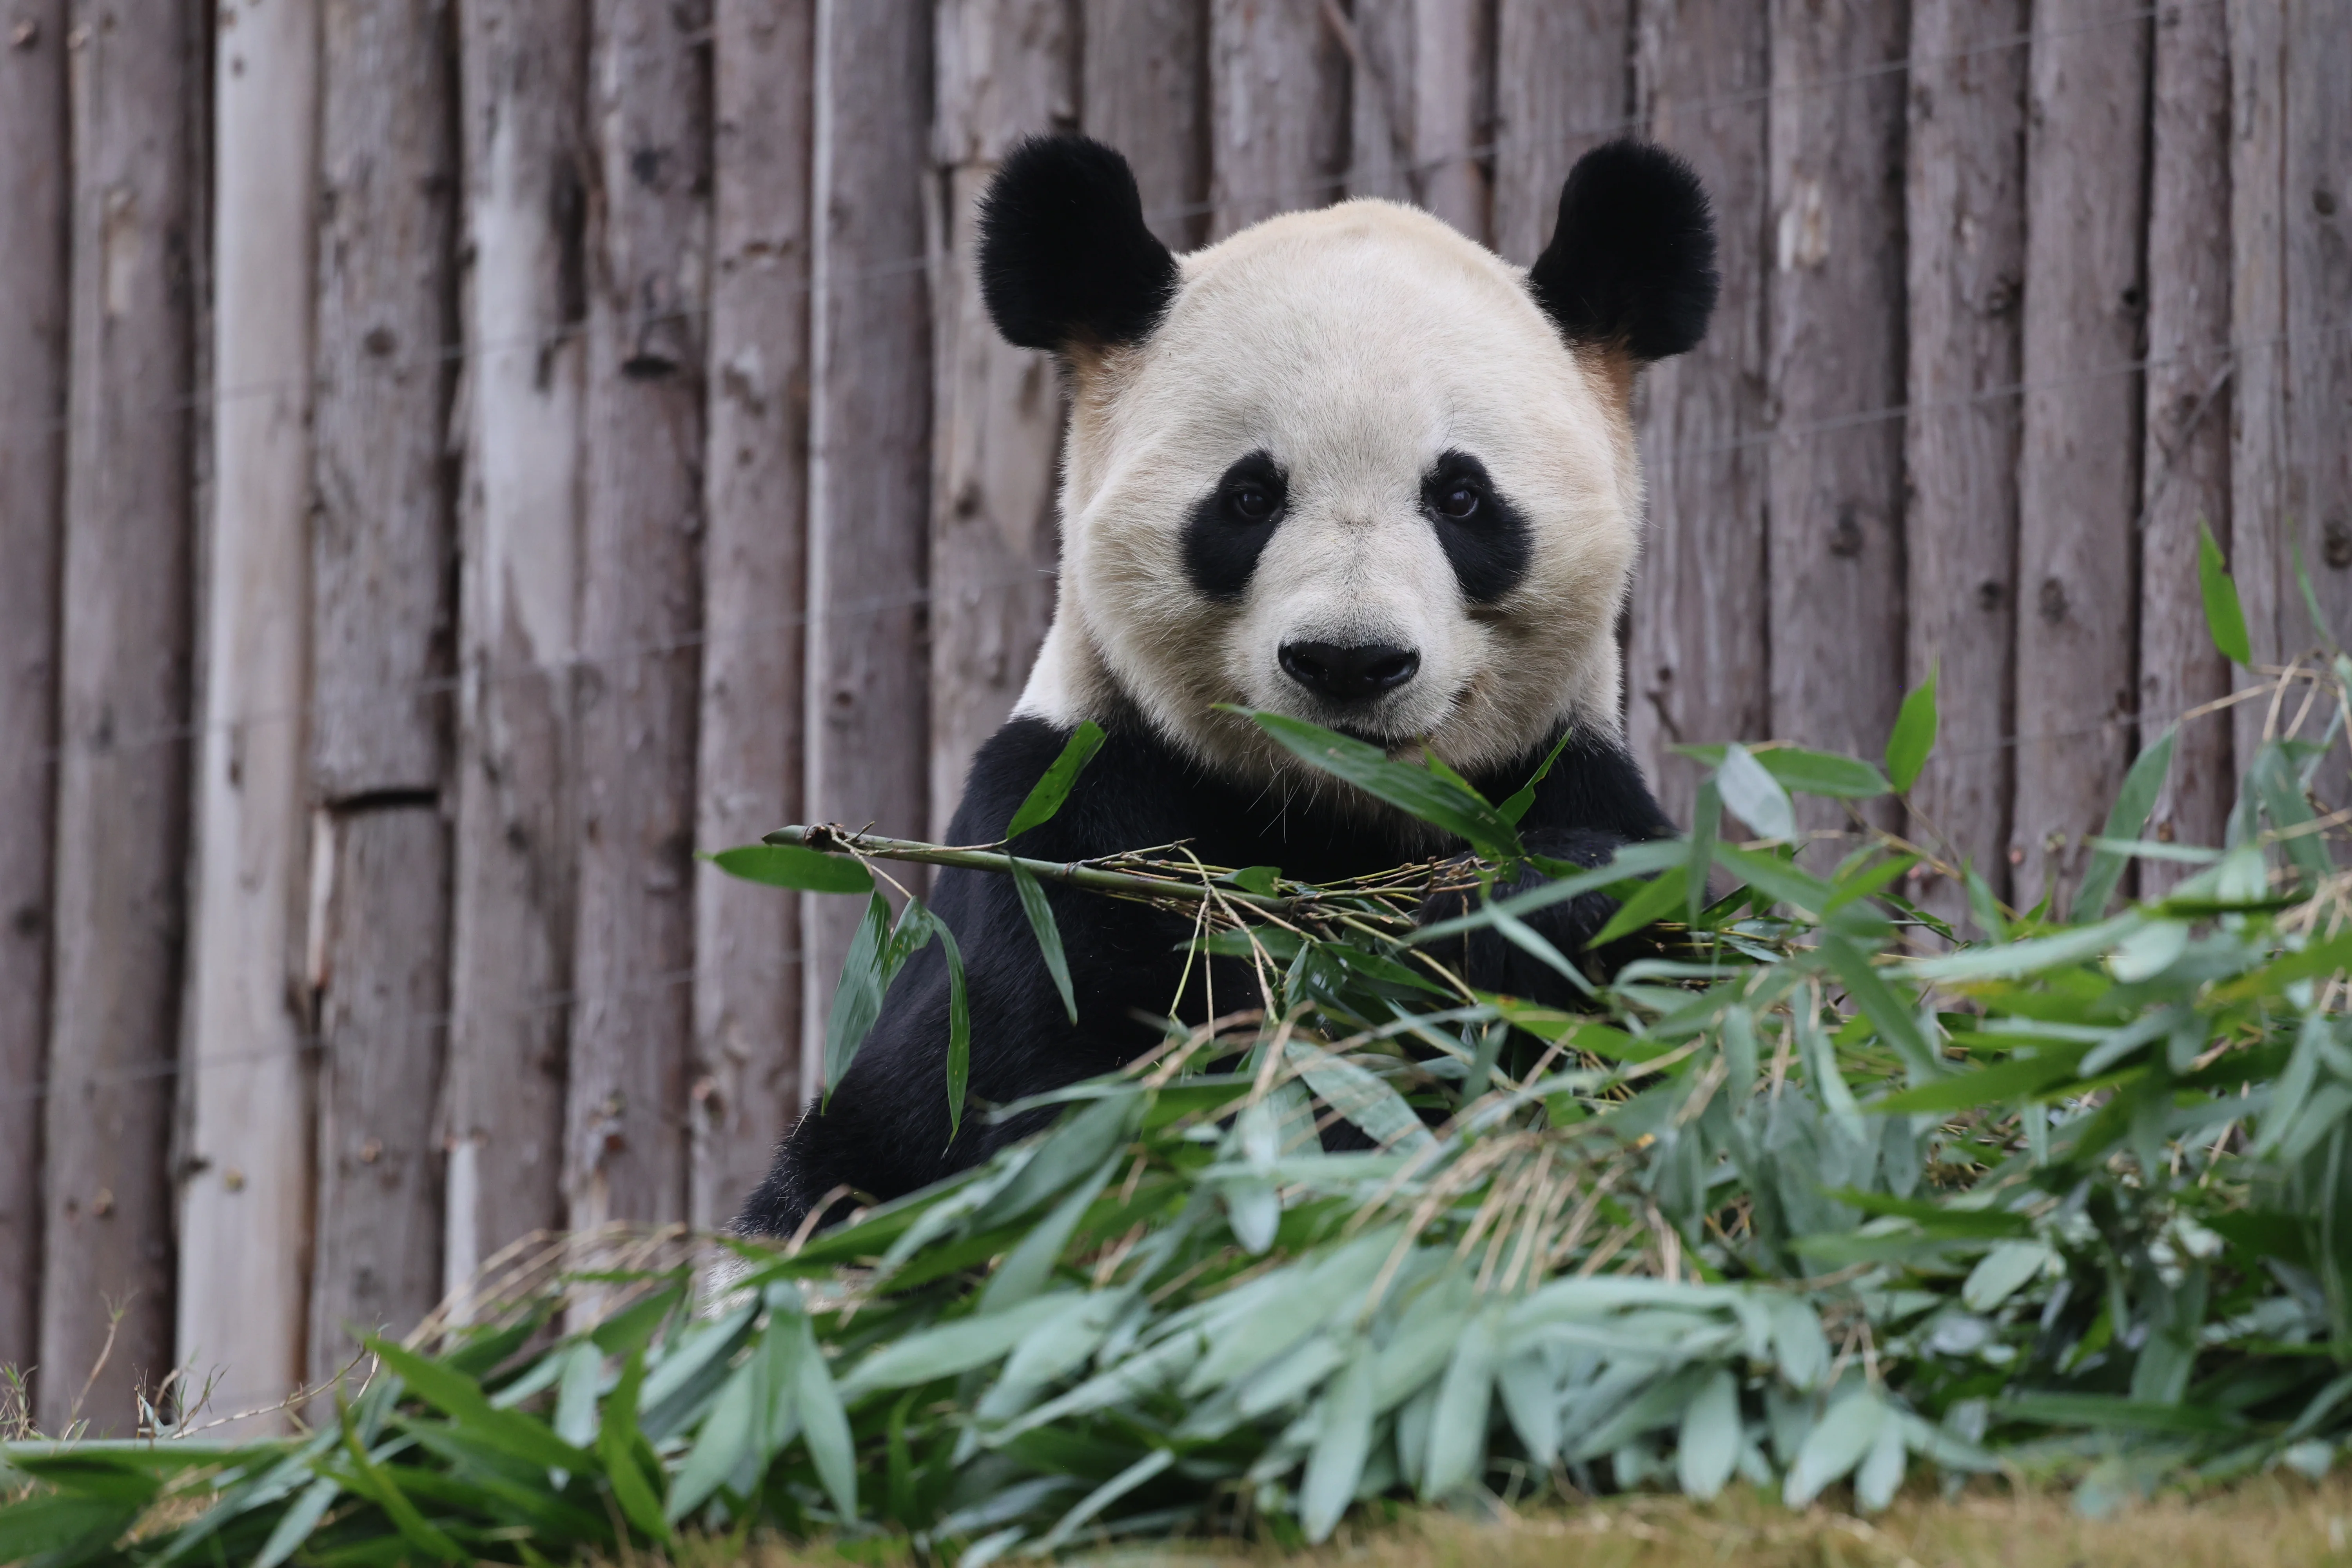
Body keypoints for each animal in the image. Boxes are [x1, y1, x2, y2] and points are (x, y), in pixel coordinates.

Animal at [737, 134, 1718, 1238]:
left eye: (1463, 498)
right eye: (1249, 497)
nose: (1349, 661)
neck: (1331, 817)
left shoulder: (1566, 775)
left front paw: (1519, 909)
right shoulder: (1071, 819)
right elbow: (1059, 1096)